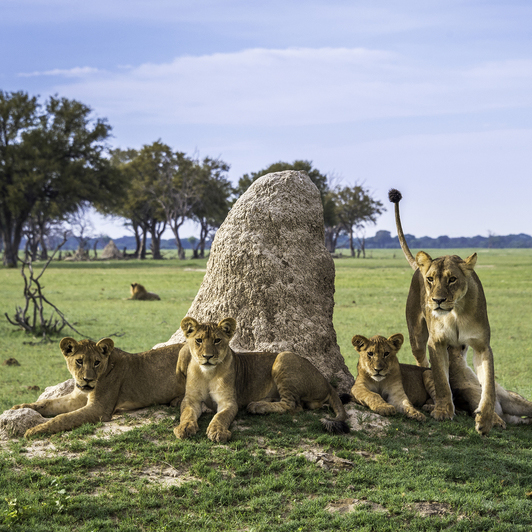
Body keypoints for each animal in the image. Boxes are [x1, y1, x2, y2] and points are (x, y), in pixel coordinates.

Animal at [11, 336, 184, 436]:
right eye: (79, 361)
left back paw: (176, 401)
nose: (87, 380)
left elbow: (64, 417)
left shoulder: (99, 408)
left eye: (96, 362)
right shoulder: (76, 398)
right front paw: (19, 407)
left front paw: (34, 430)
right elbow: (47, 403)